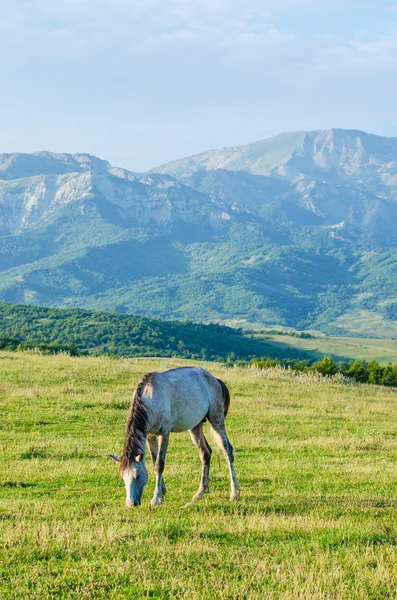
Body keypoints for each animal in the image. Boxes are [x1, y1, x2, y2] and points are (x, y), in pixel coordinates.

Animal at [110, 366, 238, 506]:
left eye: (137, 476)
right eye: (123, 477)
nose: (130, 504)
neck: (151, 398)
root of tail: (214, 379)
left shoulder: (164, 433)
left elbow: (159, 464)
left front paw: (156, 498)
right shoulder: (150, 436)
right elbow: (154, 462)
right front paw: (162, 491)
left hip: (217, 420)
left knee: (228, 451)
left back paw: (235, 494)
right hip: (195, 426)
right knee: (205, 453)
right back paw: (200, 493)